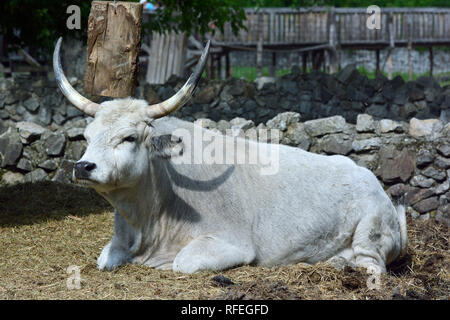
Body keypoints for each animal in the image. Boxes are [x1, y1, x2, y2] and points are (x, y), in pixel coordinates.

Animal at [53, 37, 408, 272]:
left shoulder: (230, 243)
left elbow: (182, 262)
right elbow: (104, 259)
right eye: (87, 137)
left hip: (371, 233)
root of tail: (372, 181)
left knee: (371, 265)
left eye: (129, 137)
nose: (83, 167)